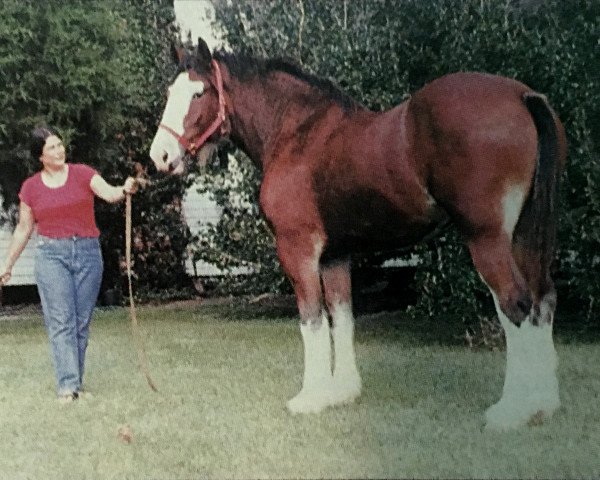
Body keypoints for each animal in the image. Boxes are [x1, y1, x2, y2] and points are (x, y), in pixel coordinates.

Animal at [150, 35, 568, 430]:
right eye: (170, 93)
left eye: (199, 92)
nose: (160, 156)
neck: (296, 133)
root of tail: (521, 96)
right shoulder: (335, 255)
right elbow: (342, 316)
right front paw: (343, 392)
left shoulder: (298, 250)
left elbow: (312, 321)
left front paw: (310, 398)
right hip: (525, 234)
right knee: (543, 300)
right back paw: (544, 404)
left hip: (487, 238)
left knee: (514, 305)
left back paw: (512, 411)